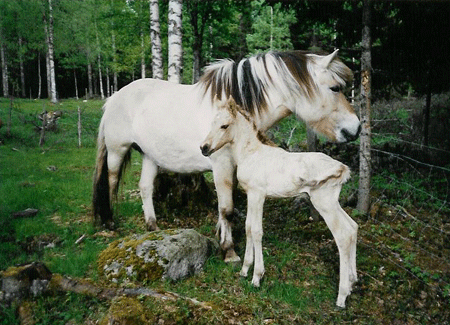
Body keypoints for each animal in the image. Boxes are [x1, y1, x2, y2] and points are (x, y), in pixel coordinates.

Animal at [93, 49, 360, 262]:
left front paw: (221, 239)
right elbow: (227, 209)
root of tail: (114, 97)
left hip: (150, 156)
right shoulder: (221, 166)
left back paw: (153, 227)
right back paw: (110, 223)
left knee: (145, 187)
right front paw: (229, 251)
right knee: (111, 182)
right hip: (117, 151)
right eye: (335, 88)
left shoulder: (232, 168)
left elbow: (226, 208)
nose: (355, 129)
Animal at [201, 98, 358, 306]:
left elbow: (256, 231)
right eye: (212, 123)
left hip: (324, 203)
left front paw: (256, 277)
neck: (252, 153)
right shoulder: (251, 194)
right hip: (333, 202)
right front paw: (244, 270)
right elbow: (248, 227)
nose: (204, 147)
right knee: (353, 227)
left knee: (343, 235)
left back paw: (341, 296)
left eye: (224, 125)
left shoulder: (258, 194)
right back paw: (352, 282)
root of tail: (342, 168)